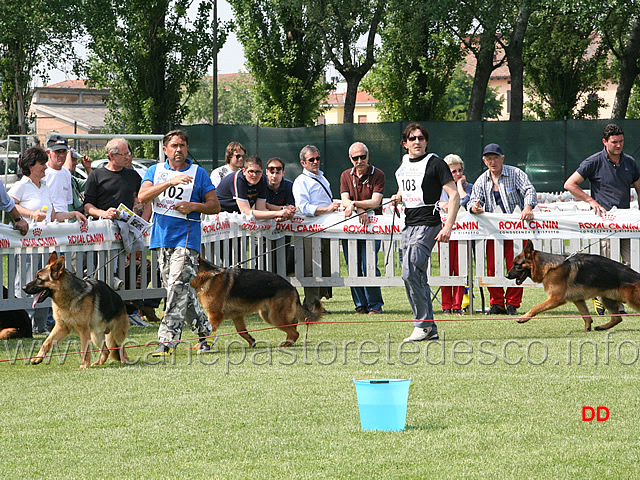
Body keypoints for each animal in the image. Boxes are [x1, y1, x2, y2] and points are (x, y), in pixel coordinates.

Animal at [188, 256, 322, 346]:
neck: (207, 276)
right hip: (268, 315)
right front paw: (251, 341)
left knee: (295, 333)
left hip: (275, 317)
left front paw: (198, 347)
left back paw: (284, 346)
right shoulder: (237, 316)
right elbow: (241, 331)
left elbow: (207, 333)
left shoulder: (215, 315)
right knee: (294, 326)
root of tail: (292, 287)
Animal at [504, 239, 640, 330]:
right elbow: (586, 316)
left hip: (630, 300)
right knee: (617, 318)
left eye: (517, 265)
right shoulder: (578, 300)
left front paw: (523, 318)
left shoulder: (556, 298)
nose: (506, 275)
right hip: (606, 299)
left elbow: (535, 307)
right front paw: (587, 329)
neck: (549, 268)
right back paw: (602, 327)